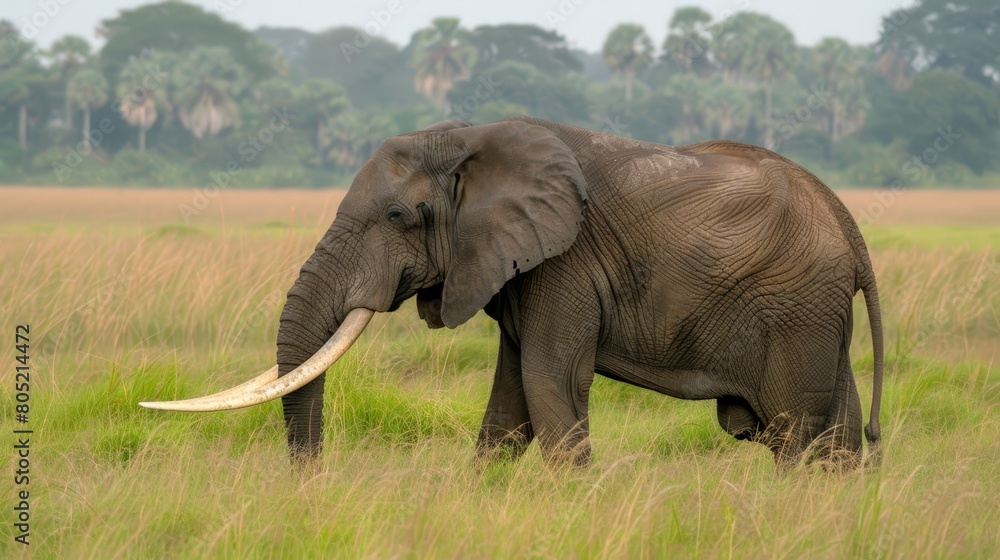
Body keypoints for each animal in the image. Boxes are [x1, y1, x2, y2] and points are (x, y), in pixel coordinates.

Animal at [143, 117, 884, 468]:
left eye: (399, 216)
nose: (313, 486)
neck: (470, 140)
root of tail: (848, 226)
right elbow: (509, 409)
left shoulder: (566, 261)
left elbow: (549, 386)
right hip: (819, 318)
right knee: (839, 435)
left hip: (794, 311)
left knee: (797, 435)